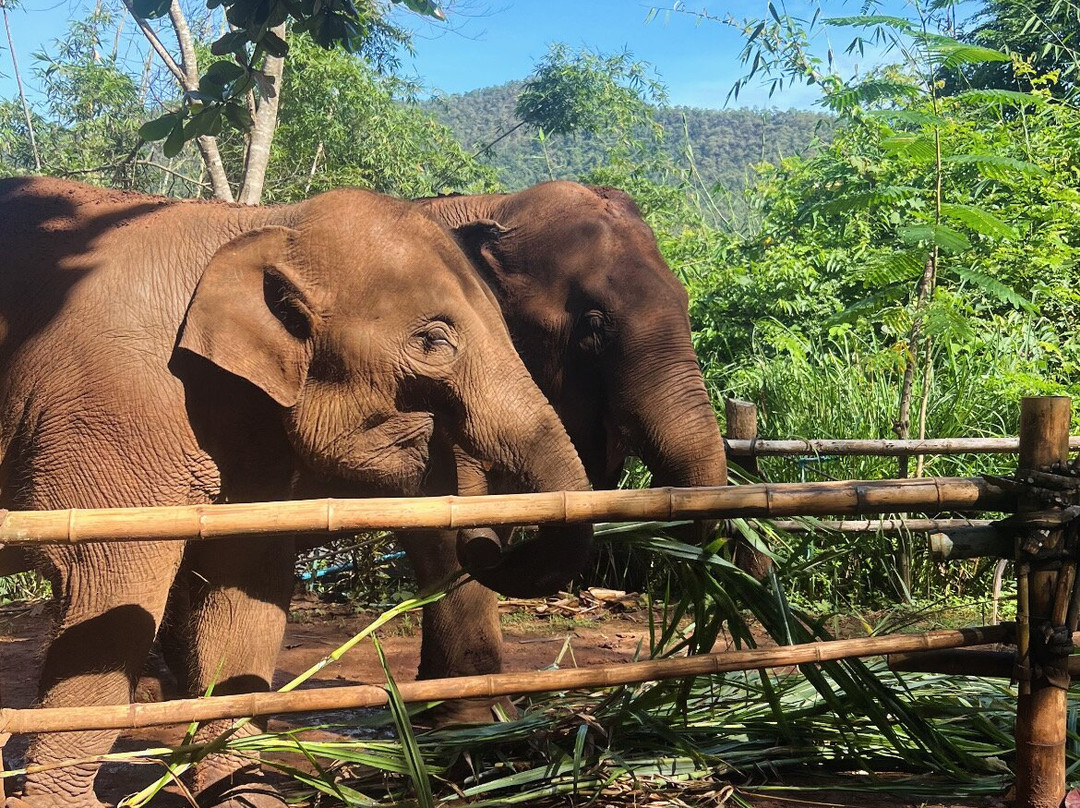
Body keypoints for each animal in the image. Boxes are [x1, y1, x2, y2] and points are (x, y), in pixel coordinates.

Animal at [0, 176, 593, 808]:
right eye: (434, 341)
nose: (490, 536)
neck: (257, 228)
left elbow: (244, 592)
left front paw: (246, 795)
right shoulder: (113, 408)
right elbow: (110, 592)